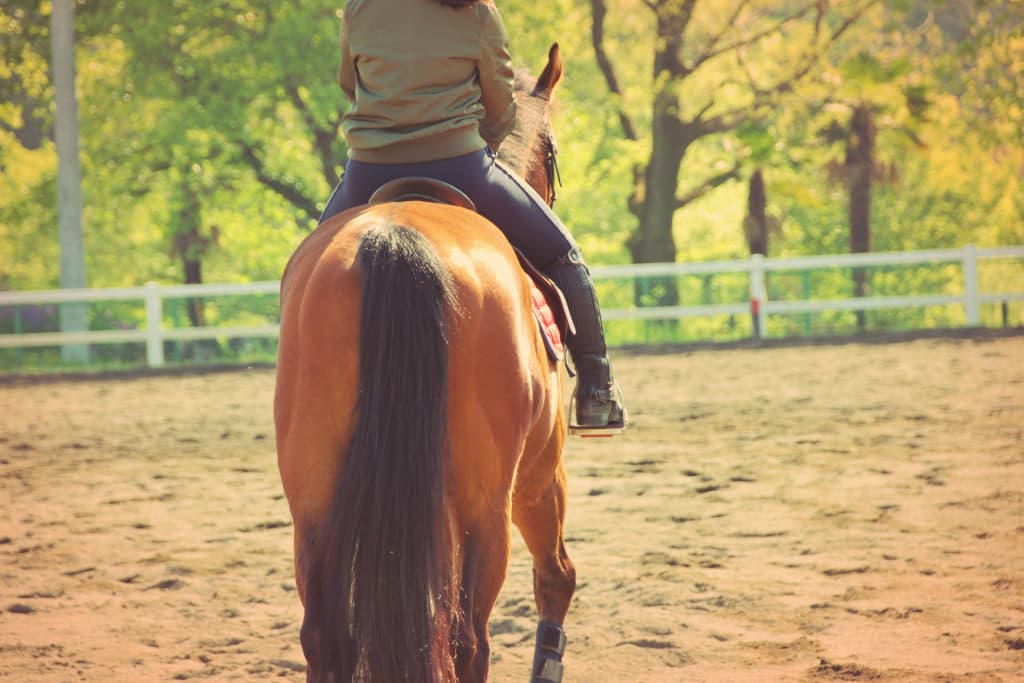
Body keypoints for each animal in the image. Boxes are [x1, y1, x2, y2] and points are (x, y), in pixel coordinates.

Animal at [274, 44, 576, 683]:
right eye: (554, 152)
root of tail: (398, 237)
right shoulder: (540, 470)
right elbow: (557, 576)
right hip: (488, 506)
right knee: (470, 640)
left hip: (313, 502)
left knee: (324, 636)